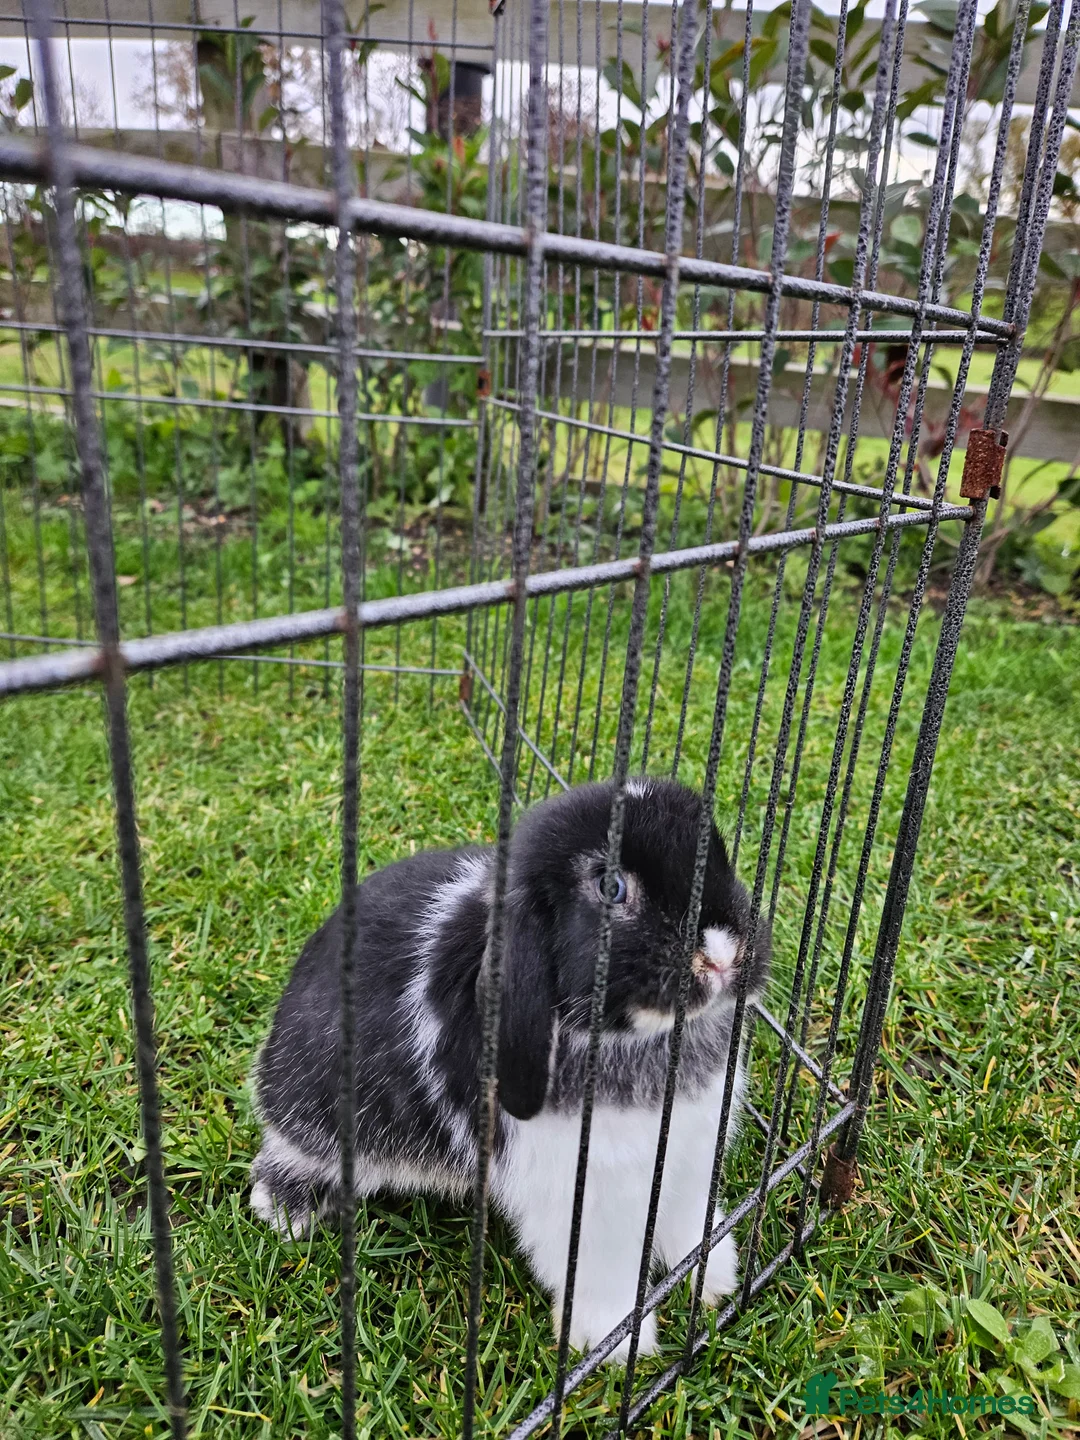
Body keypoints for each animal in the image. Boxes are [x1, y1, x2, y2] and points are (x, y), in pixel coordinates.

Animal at [250, 777, 770, 1362]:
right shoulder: (584, 1200)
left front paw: (715, 1282)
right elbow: (601, 1275)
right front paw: (614, 1348)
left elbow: (690, 1229)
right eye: (611, 887)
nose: (723, 953)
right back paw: (287, 1211)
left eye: (719, 849)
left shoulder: (689, 1160)